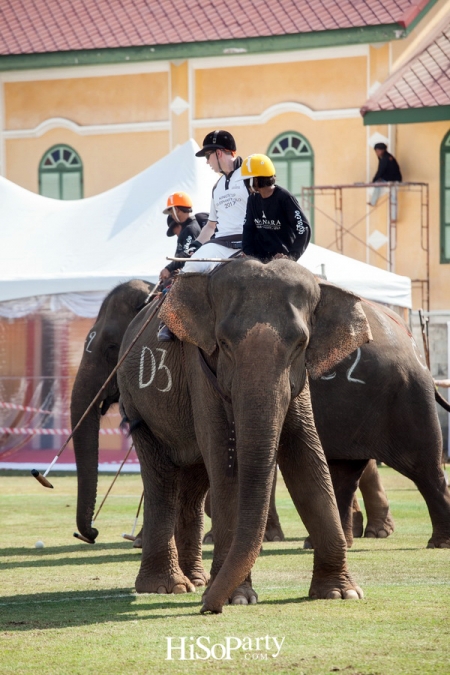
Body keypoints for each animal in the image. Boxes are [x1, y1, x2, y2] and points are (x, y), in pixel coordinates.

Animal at [117, 258, 372, 612]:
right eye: (223, 344)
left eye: (300, 345)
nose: (208, 607)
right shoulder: (200, 368)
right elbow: (226, 461)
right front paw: (237, 597)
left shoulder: (299, 383)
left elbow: (306, 457)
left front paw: (340, 592)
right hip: (137, 405)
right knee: (161, 479)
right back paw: (168, 587)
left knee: (193, 481)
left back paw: (197, 581)